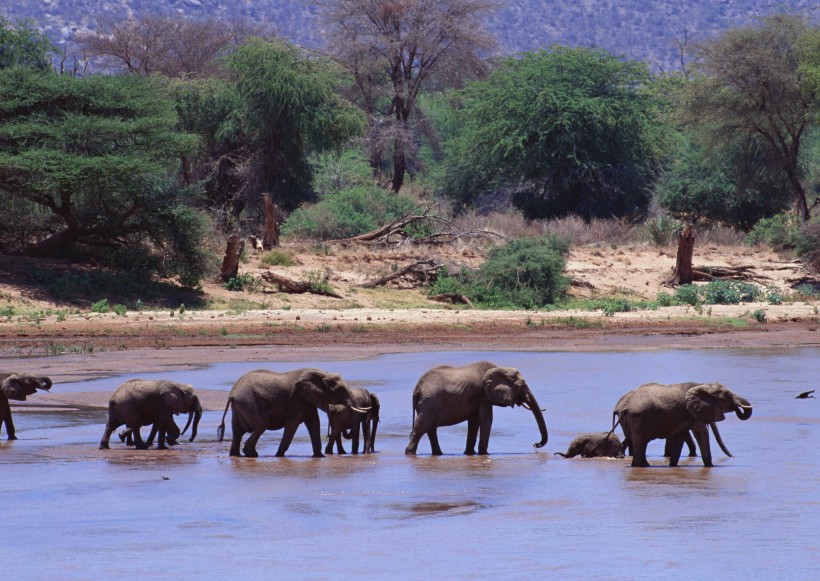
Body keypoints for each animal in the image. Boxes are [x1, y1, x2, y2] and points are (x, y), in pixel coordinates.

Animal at [215, 368, 368, 458]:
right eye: (340, 389)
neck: (322, 373)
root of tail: (232, 394)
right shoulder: (297, 398)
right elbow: (293, 423)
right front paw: (278, 456)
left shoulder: (307, 399)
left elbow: (314, 422)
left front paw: (319, 457)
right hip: (248, 403)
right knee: (262, 424)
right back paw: (251, 453)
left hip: (241, 406)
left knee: (237, 431)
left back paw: (236, 455)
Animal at [406, 360, 552, 456]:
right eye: (522, 386)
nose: (535, 444)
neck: (499, 369)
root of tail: (417, 388)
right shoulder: (483, 395)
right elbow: (487, 420)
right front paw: (484, 454)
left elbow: (474, 422)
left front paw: (470, 453)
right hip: (429, 402)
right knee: (422, 427)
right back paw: (410, 454)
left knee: (430, 429)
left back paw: (438, 454)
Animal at [612, 380, 752, 466]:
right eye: (728, 396)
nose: (733, 457)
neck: (703, 385)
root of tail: (622, 406)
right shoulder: (691, 414)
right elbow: (701, 434)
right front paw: (710, 466)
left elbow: (680, 437)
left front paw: (673, 465)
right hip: (638, 418)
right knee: (640, 441)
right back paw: (644, 466)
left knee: (634, 440)